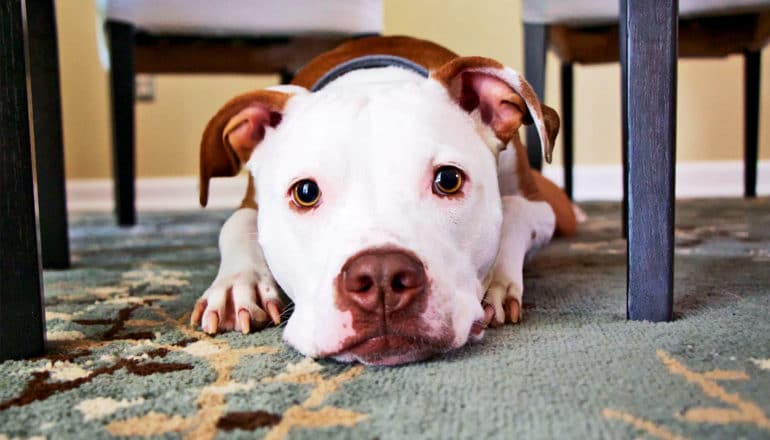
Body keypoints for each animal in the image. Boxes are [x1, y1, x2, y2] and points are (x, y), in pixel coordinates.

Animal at [190, 36, 576, 366]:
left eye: (448, 180)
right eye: (306, 192)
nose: (381, 276)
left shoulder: (540, 207)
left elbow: (514, 211)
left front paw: (497, 280)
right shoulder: (250, 204)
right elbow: (235, 223)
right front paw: (238, 286)